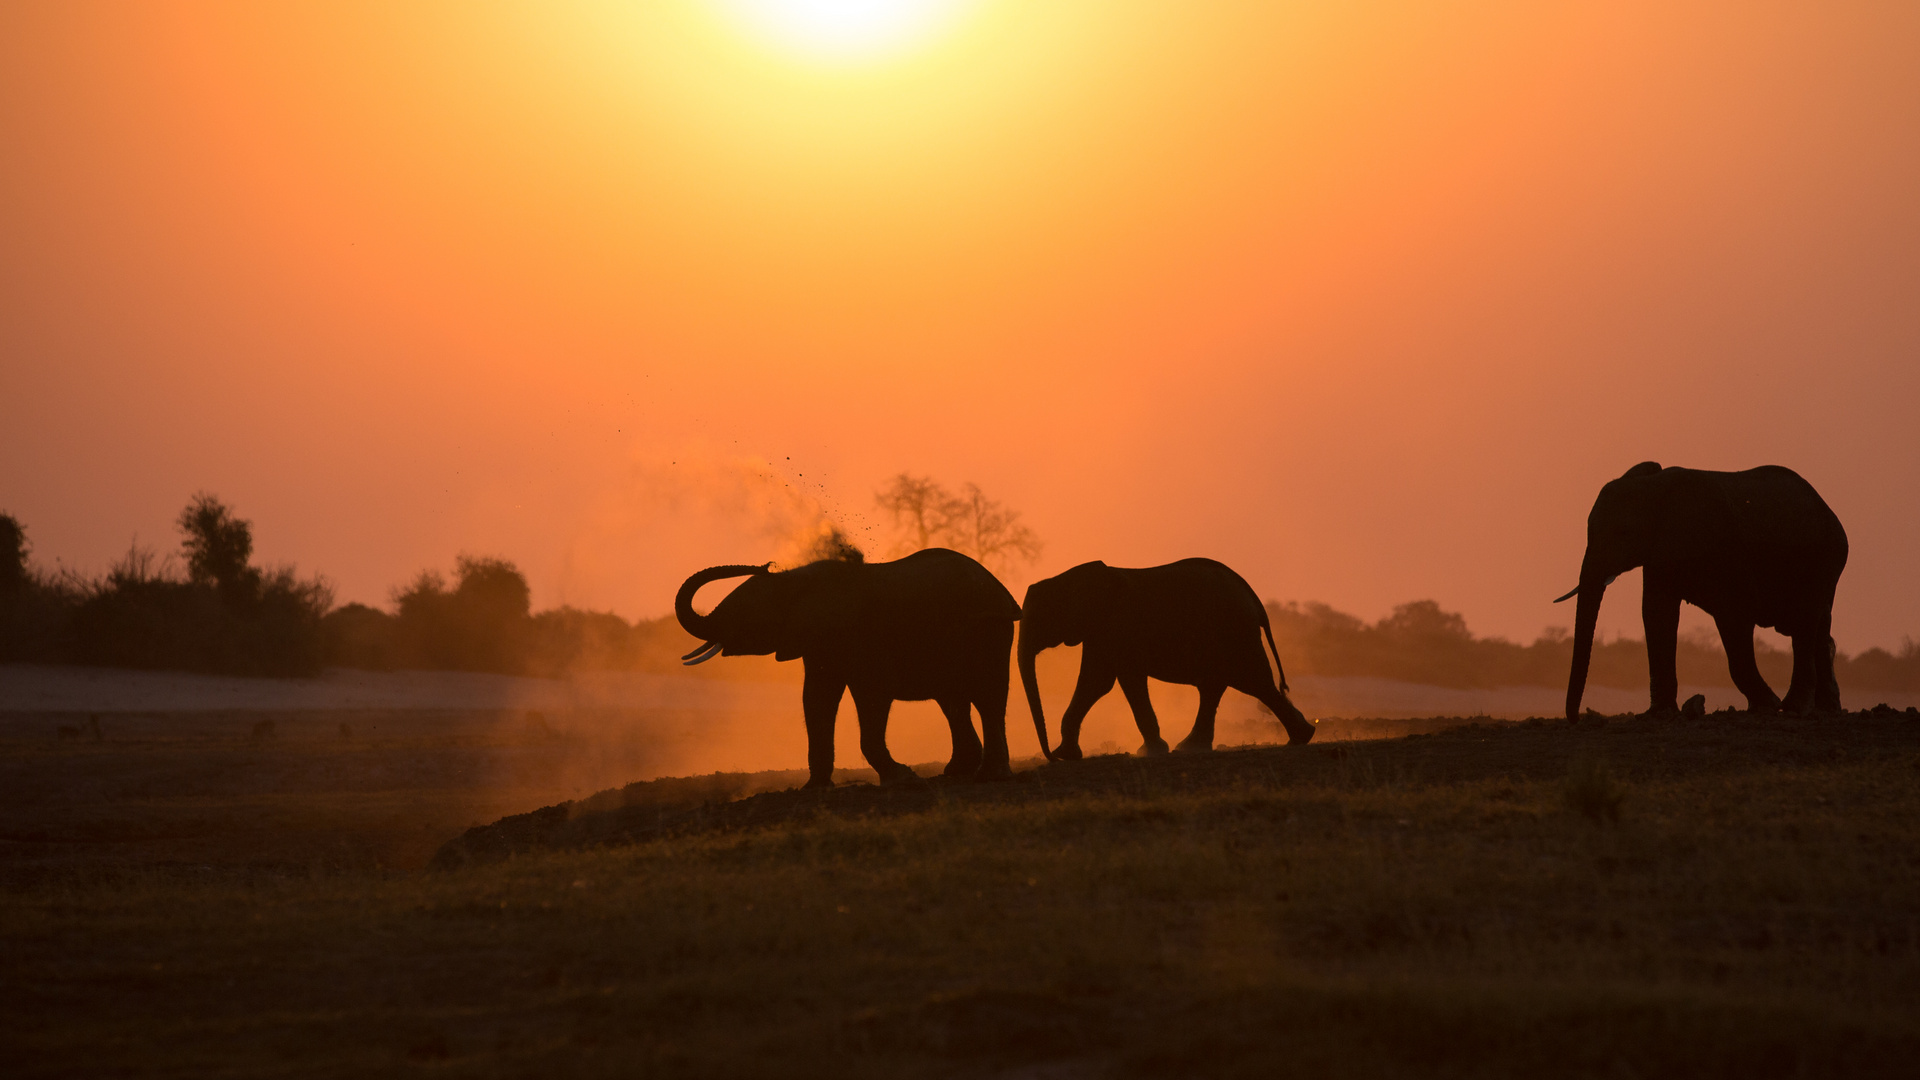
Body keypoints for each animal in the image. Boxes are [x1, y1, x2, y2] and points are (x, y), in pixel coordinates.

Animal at [672, 549, 1021, 787]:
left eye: (745, 610)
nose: (766, 564)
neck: (796, 580)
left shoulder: (860, 639)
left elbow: (871, 696)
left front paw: (902, 779)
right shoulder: (819, 641)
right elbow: (816, 699)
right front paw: (814, 788)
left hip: (989, 630)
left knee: (988, 698)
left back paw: (990, 776)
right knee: (953, 703)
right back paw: (957, 772)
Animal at [1013, 553, 1313, 757]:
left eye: (1039, 618)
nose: (1049, 755)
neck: (1070, 577)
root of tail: (1252, 596)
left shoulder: (1119, 626)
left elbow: (1123, 680)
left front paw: (1150, 752)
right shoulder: (1100, 631)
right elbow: (1095, 682)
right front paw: (1067, 755)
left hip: (1237, 633)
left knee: (1255, 683)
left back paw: (1302, 737)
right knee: (1220, 686)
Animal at [1559, 461, 1843, 718]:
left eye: (1624, 532)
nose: (1577, 717)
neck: (1652, 487)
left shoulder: (1723, 553)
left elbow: (1734, 617)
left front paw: (1767, 705)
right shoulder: (1660, 554)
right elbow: (1657, 614)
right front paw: (1660, 713)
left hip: (1823, 561)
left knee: (1804, 625)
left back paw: (1795, 708)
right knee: (1820, 626)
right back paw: (1826, 709)